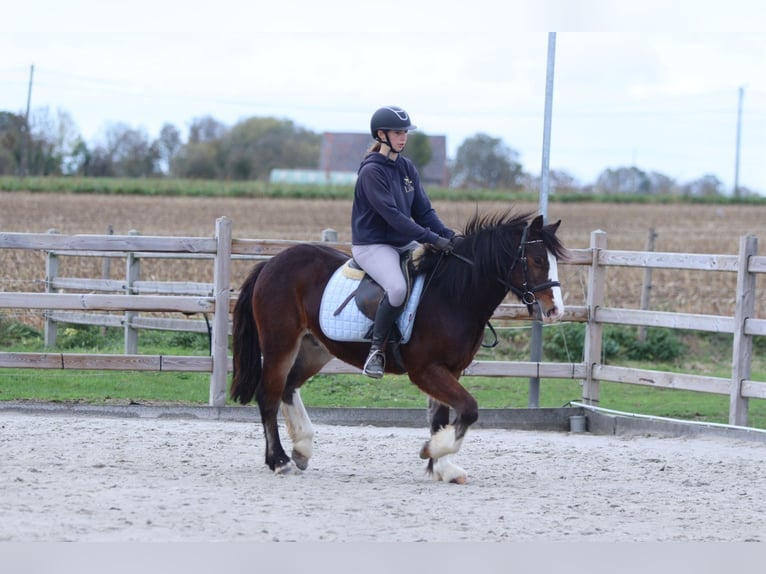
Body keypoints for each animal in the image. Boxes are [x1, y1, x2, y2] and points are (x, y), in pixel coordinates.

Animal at [231, 210, 567, 483]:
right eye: (537, 260)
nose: (554, 311)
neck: (454, 295)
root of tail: (272, 263)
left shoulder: (450, 370)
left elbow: (442, 418)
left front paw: (443, 467)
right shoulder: (426, 370)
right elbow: (468, 410)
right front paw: (432, 451)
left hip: (315, 349)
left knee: (288, 387)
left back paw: (301, 448)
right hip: (281, 344)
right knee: (269, 395)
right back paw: (280, 461)